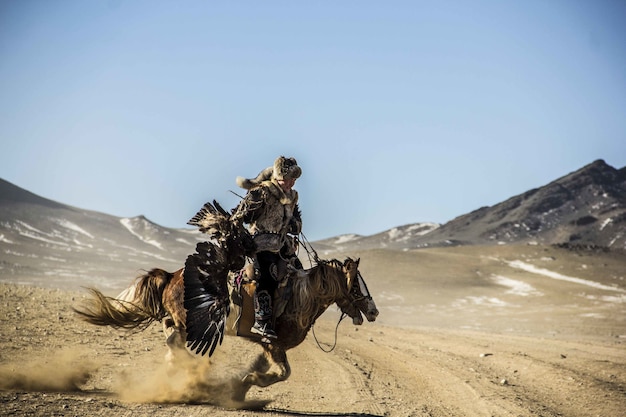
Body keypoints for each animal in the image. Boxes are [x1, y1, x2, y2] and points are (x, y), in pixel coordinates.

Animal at [73, 200, 376, 402]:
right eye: (356, 287)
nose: (373, 311)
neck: (302, 295)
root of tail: (172, 275)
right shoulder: (274, 344)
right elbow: (283, 373)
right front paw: (249, 382)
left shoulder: (271, 347)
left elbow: (265, 367)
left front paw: (240, 387)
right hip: (187, 322)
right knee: (174, 338)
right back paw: (190, 370)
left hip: (179, 321)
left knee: (170, 333)